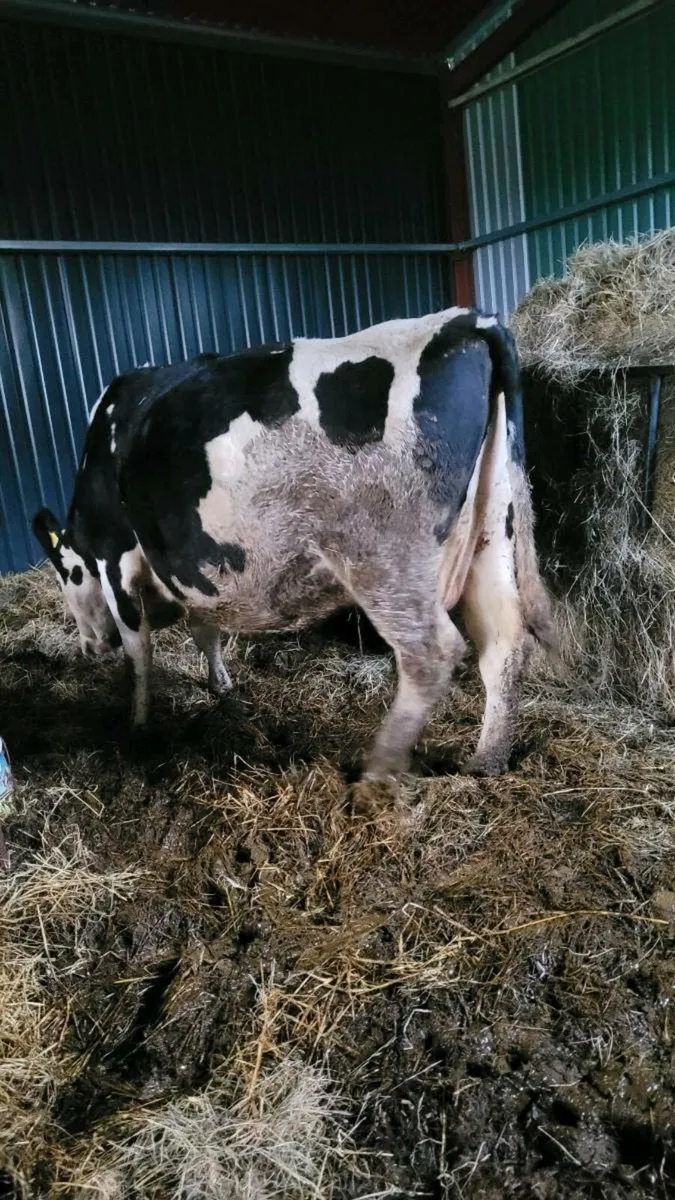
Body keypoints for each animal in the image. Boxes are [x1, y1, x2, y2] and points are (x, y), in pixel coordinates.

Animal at [32, 307, 556, 798]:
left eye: (65, 574)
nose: (91, 646)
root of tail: (465, 320)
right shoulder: (199, 570)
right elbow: (205, 628)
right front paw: (220, 685)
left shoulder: (113, 554)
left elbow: (138, 651)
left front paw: (139, 727)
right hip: (493, 530)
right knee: (503, 644)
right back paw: (487, 761)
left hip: (386, 560)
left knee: (431, 653)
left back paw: (377, 771)